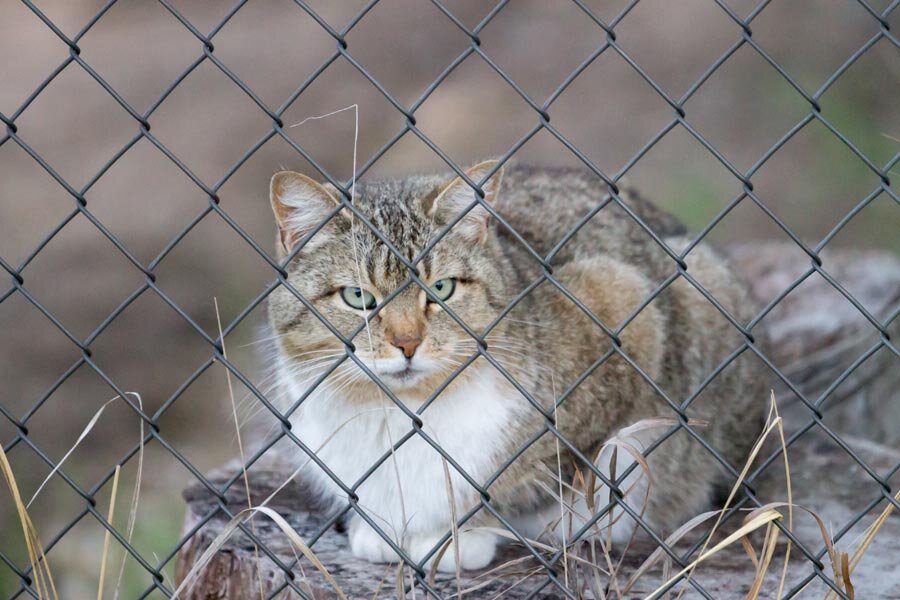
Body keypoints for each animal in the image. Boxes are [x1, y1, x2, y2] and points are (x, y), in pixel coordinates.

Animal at [264, 159, 764, 572]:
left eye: (442, 288)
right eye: (359, 298)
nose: (407, 344)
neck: (400, 410)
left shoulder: (624, 309)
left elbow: (523, 480)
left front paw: (460, 534)